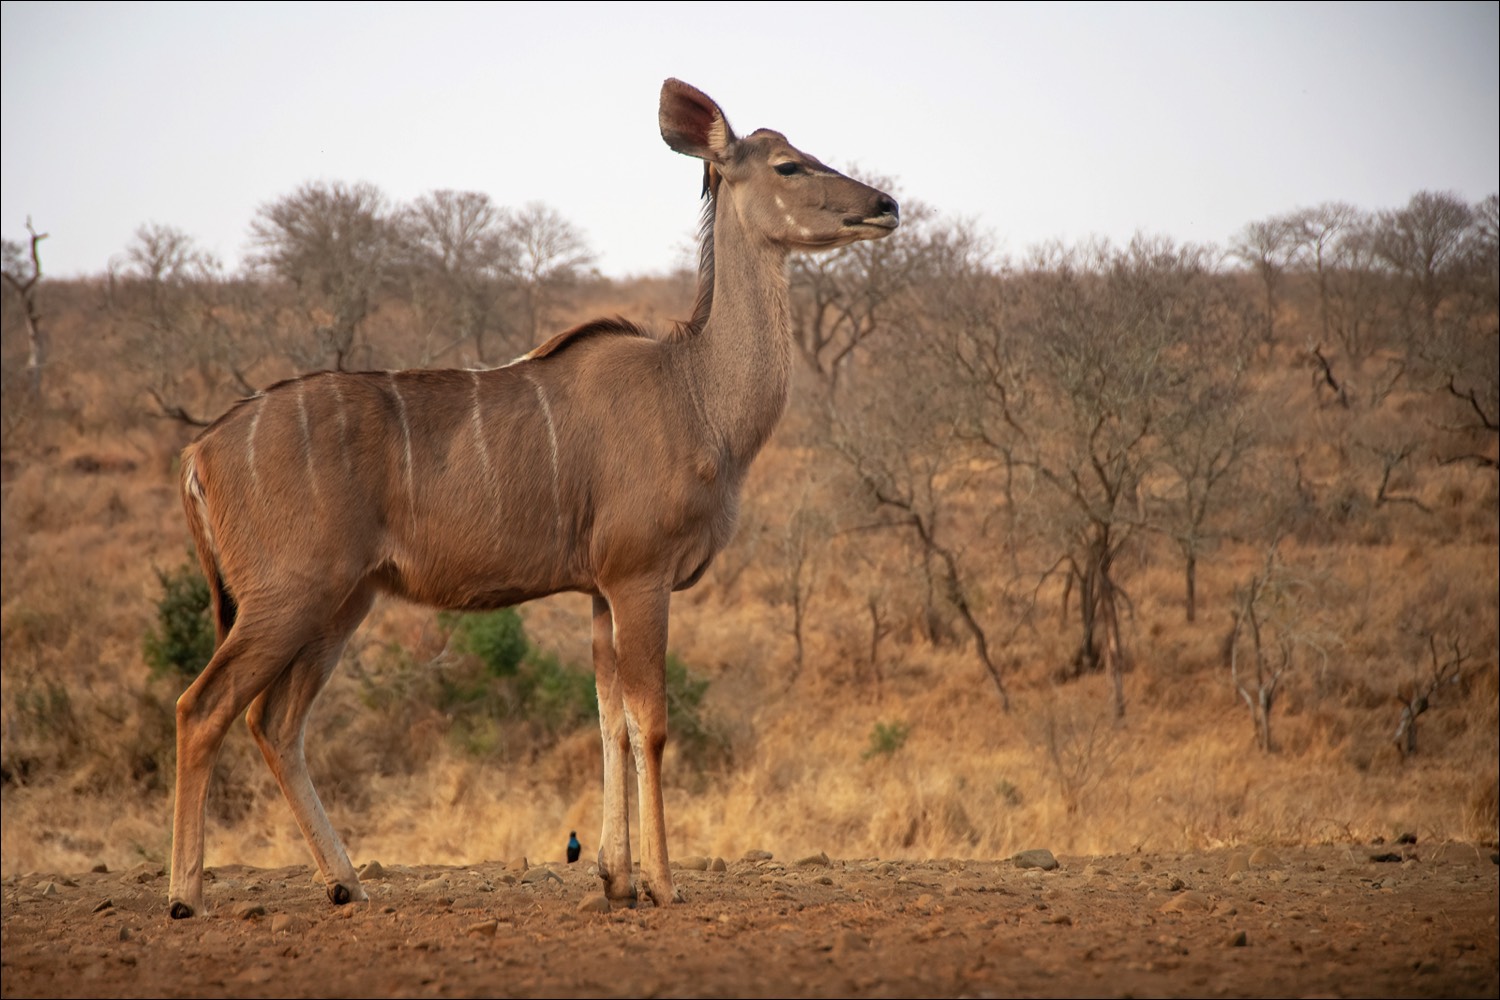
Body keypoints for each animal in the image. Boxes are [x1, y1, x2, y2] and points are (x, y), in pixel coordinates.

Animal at [172, 78, 900, 917]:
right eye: (788, 165)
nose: (886, 205)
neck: (696, 393)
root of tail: (201, 450)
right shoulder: (639, 577)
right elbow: (650, 723)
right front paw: (662, 883)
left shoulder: (599, 592)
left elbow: (610, 721)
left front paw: (616, 878)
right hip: (288, 596)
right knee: (203, 708)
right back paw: (186, 895)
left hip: (342, 602)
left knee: (275, 722)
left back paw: (347, 883)